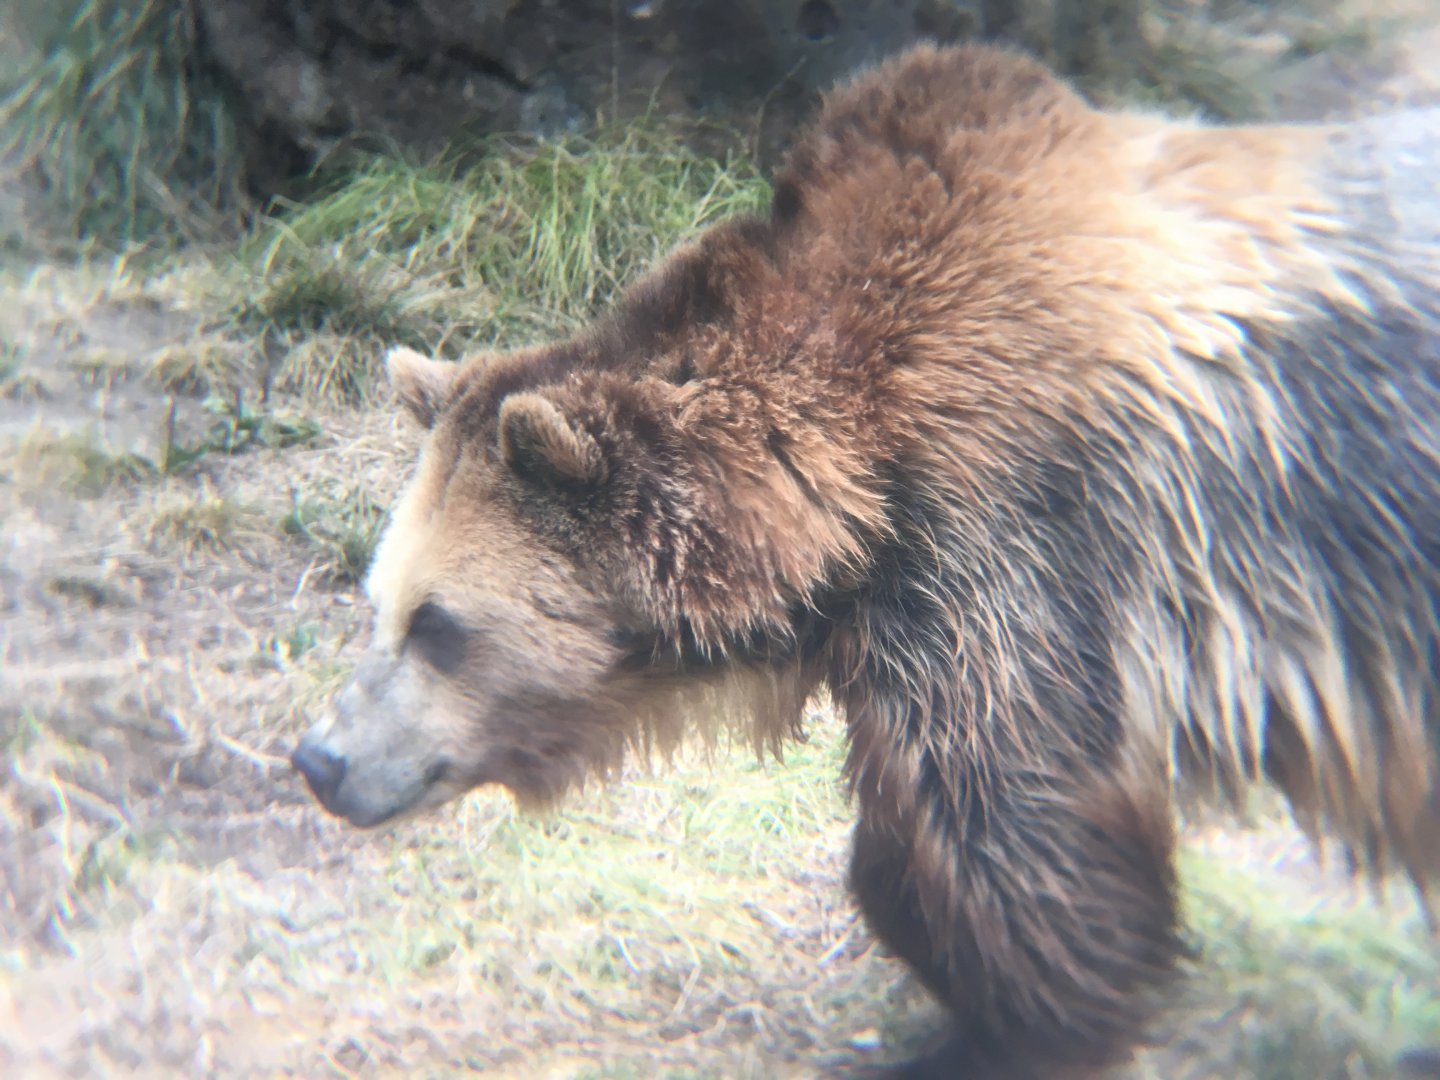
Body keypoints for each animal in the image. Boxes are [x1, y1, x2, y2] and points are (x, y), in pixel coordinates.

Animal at [291, 43, 1440, 1079]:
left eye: (439, 624)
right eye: (378, 603)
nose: (321, 759)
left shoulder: (1014, 541)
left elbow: (1013, 820)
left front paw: (1009, 1025)